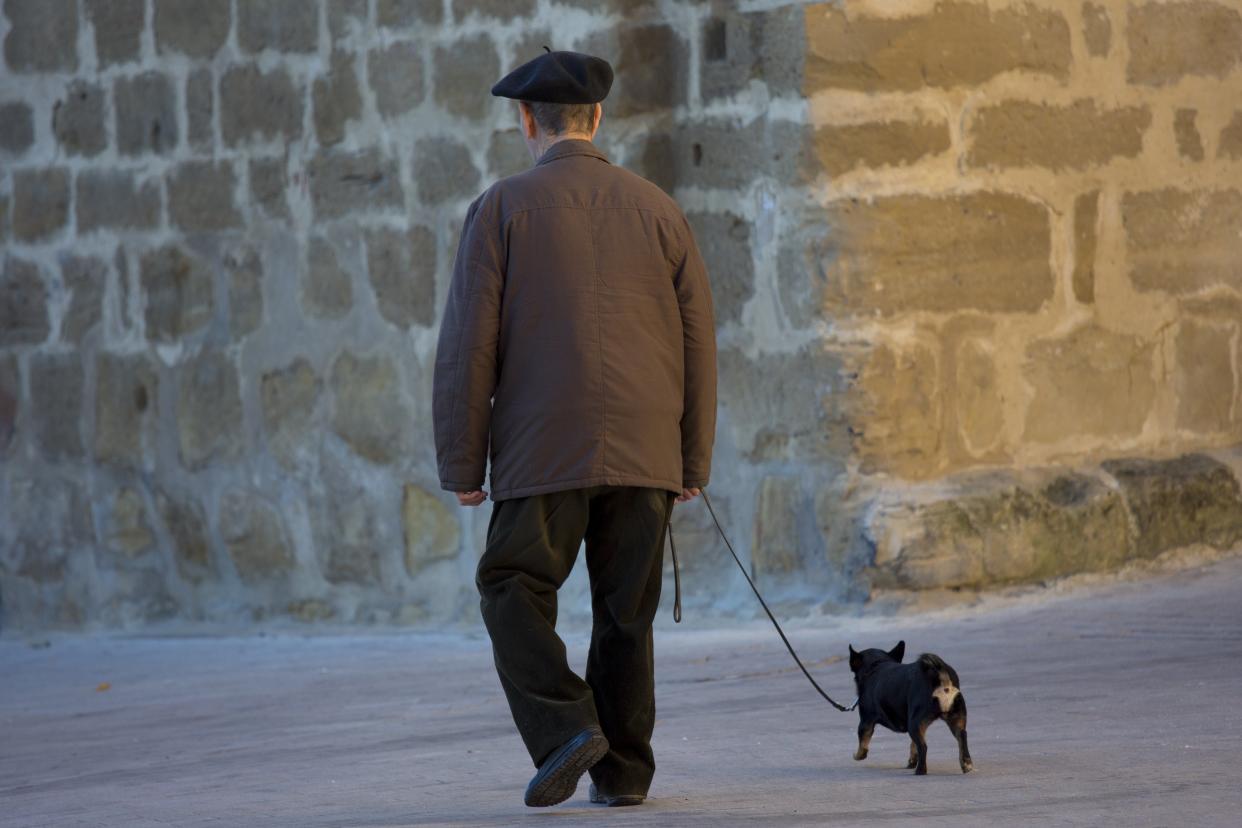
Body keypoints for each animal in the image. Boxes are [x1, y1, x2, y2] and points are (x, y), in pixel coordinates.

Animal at [849, 640, 973, 779]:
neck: (876, 665)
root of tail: (940, 676)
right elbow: (913, 745)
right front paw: (912, 760)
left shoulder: (866, 722)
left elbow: (863, 745)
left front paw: (858, 756)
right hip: (954, 718)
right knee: (962, 736)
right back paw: (966, 764)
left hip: (913, 723)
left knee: (923, 747)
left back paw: (920, 770)